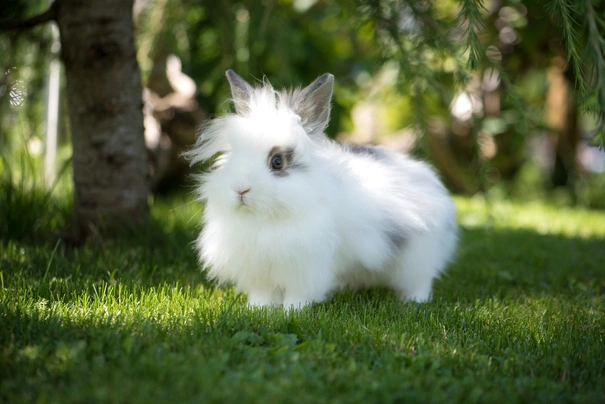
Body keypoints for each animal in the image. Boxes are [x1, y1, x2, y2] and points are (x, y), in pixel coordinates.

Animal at [184, 70, 458, 310]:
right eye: (234, 155)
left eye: (277, 162)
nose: (241, 190)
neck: (266, 219)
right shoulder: (260, 271)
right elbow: (263, 294)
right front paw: (257, 310)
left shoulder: (305, 267)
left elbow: (298, 294)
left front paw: (292, 311)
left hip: (417, 256)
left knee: (420, 280)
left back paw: (414, 302)